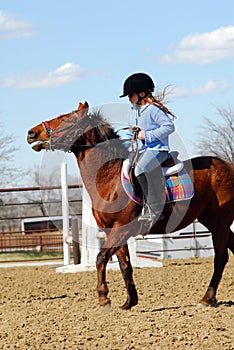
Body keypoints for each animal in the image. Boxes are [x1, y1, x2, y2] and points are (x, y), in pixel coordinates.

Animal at [27, 102, 234, 310]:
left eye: (65, 120)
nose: (32, 132)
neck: (109, 179)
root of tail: (228, 166)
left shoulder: (121, 228)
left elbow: (101, 258)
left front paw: (104, 298)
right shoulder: (112, 231)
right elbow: (124, 265)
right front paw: (129, 302)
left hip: (220, 222)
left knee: (221, 258)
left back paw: (207, 298)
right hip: (211, 221)